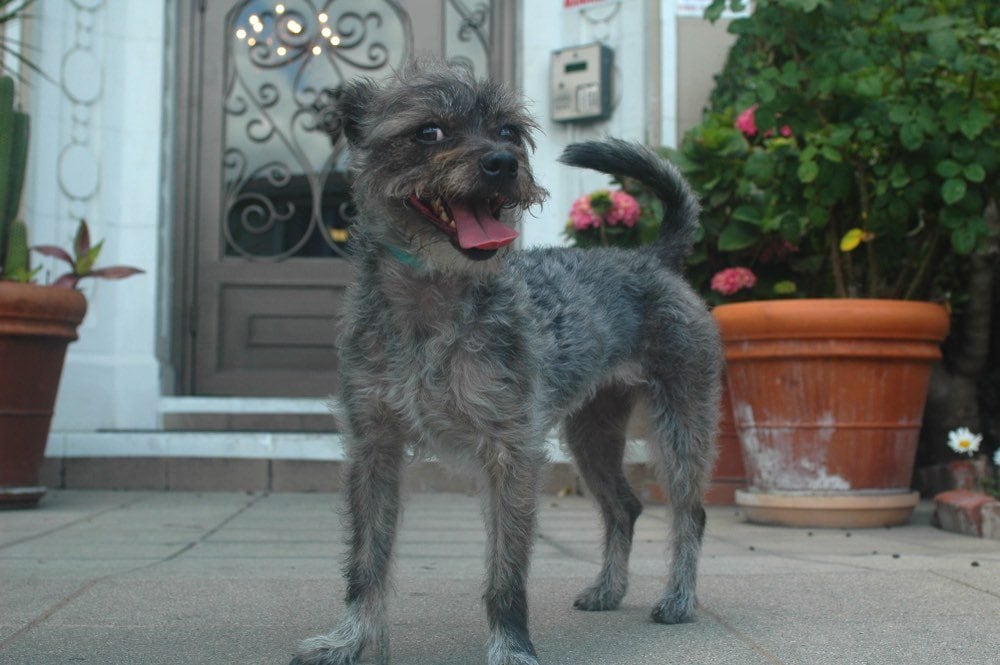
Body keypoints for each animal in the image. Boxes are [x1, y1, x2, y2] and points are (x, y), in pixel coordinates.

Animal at [292, 61, 724, 664]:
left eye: (508, 132)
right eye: (429, 131)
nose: (503, 163)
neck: (432, 314)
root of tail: (651, 257)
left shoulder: (510, 453)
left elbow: (506, 574)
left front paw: (512, 648)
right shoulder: (372, 446)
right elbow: (365, 559)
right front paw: (351, 640)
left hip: (681, 425)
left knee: (691, 512)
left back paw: (679, 600)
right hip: (591, 434)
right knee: (625, 507)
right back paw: (608, 590)